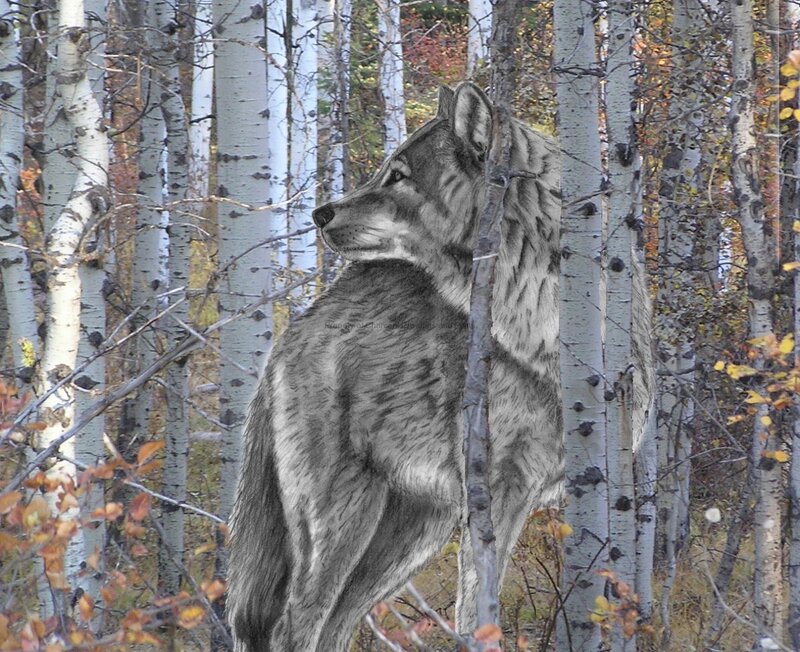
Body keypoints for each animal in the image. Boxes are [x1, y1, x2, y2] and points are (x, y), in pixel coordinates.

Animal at [227, 82, 652, 651]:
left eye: (399, 175)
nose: (320, 214)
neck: (543, 329)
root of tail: (293, 331)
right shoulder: (496, 492)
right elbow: (478, 613)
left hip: (410, 537)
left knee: (335, 624)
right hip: (344, 523)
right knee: (294, 624)